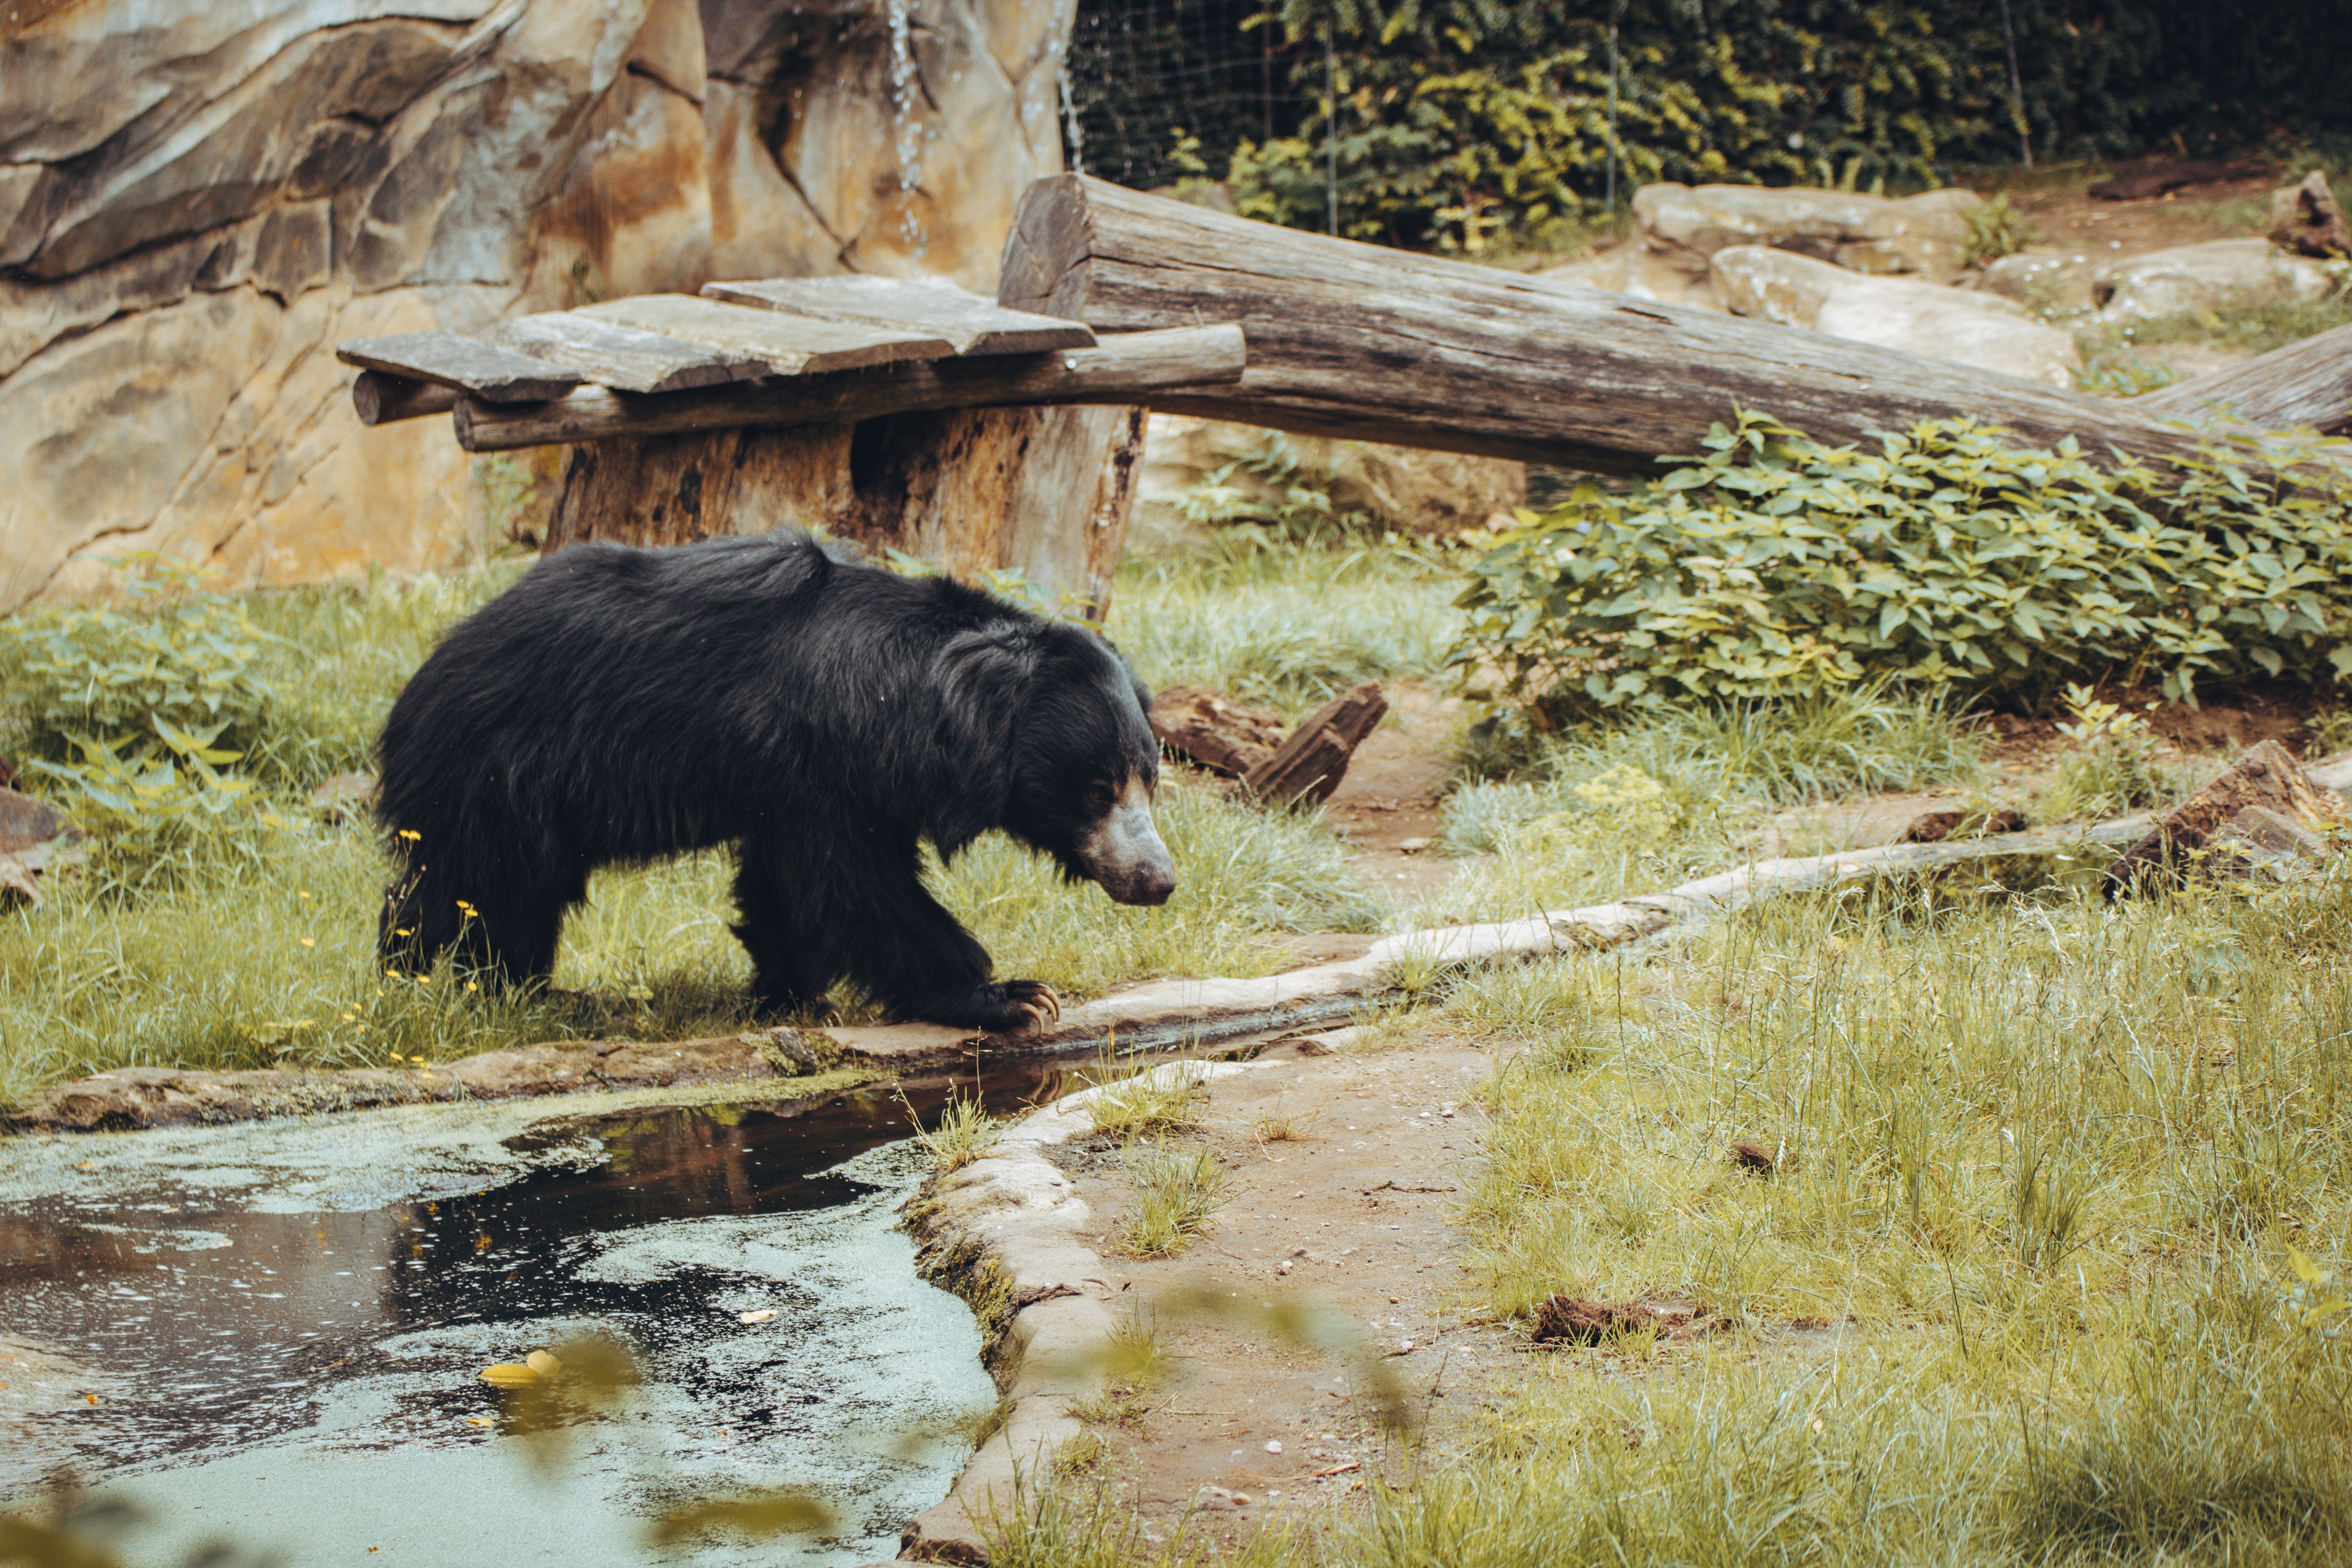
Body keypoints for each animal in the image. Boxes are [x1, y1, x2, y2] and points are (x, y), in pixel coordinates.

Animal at [376, 534, 1176, 1034]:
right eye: (1097, 790)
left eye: (1149, 779)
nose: (1159, 881)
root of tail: (426, 673)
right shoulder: (817, 761)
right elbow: (853, 887)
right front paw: (1013, 997)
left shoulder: (827, 784)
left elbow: (785, 890)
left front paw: (791, 998)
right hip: (500, 772)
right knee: (480, 890)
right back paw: (459, 988)